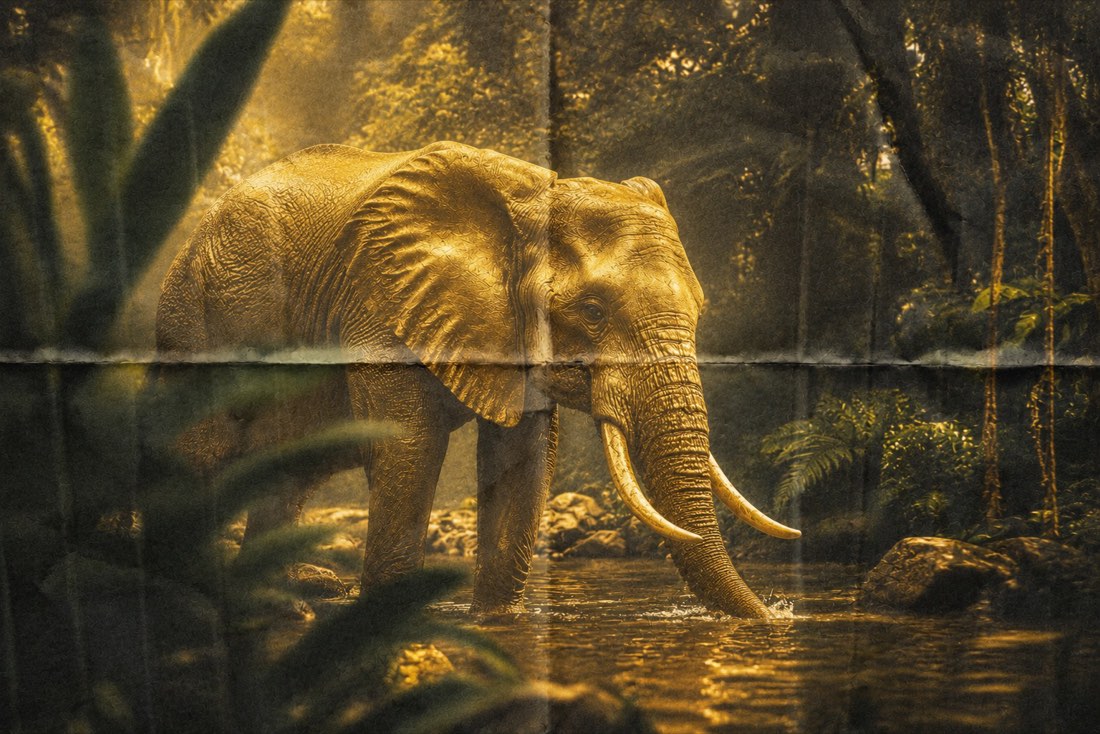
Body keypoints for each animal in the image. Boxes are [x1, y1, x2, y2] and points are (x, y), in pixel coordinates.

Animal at [156, 141, 800, 619]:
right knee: (201, 457)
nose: (778, 617)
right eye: (593, 311)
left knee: (286, 473)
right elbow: (406, 447)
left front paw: (495, 622)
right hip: (197, 322)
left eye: (699, 310)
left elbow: (525, 459)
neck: (533, 193)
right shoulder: (382, 300)